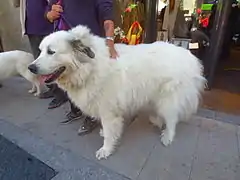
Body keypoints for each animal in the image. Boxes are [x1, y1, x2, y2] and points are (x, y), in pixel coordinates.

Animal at [28, 25, 206, 160]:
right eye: (41, 50)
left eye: (51, 52)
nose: (31, 67)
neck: (89, 68)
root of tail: (189, 56)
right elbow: (107, 129)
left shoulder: (108, 111)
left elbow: (109, 132)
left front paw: (106, 149)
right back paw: (156, 120)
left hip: (168, 98)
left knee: (172, 119)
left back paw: (167, 136)